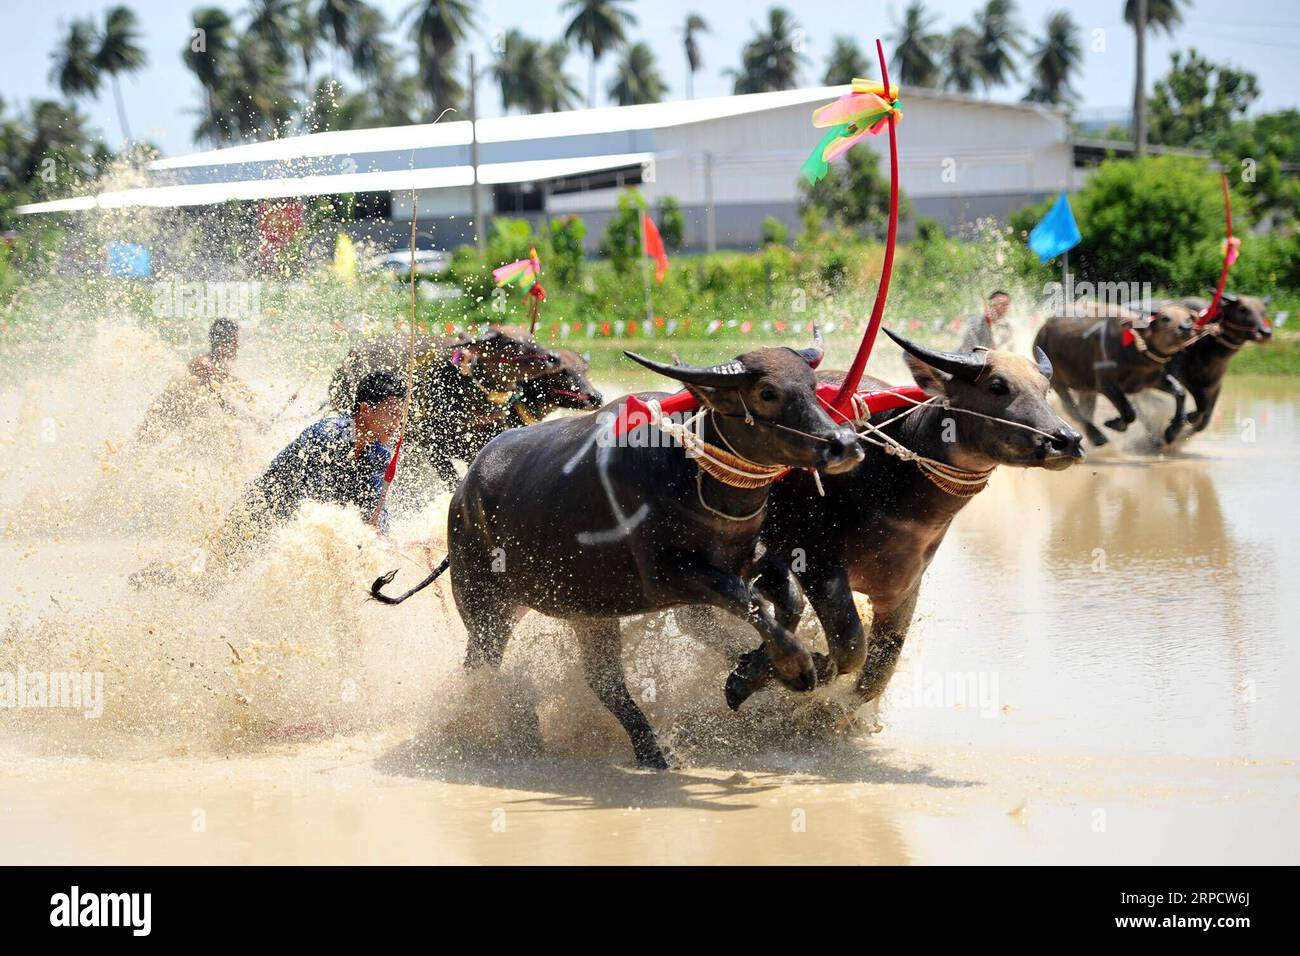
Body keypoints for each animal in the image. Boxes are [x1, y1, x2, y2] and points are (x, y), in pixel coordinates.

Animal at [374, 335, 863, 770]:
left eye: (813, 387)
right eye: (767, 393)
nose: (845, 444)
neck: (690, 472)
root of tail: (463, 494)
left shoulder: (746, 557)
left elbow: (786, 601)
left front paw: (753, 673)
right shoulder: (669, 578)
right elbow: (750, 602)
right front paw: (794, 666)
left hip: (587, 612)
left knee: (604, 682)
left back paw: (651, 751)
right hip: (484, 606)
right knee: (485, 665)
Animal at [722, 329, 1086, 712]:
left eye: (1044, 389)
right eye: (998, 386)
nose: (1066, 440)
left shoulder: (902, 591)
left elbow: (875, 675)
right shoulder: (815, 561)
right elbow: (850, 644)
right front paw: (767, 673)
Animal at [1029, 304, 1190, 447]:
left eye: (1188, 317)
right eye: (1165, 318)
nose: (1186, 328)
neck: (1135, 350)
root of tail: (1041, 331)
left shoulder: (1152, 380)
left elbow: (1180, 391)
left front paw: (1172, 432)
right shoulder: (1107, 385)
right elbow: (1129, 411)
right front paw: (1115, 424)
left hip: (1086, 387)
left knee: (1086, 409)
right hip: (1057, 382)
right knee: (1071, 409)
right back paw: (1097, 437)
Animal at [1170, 291, 1268, 434]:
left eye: (1263, 311)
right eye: (1242, 309)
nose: (1265, 332)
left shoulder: (1216, 384)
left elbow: (1207, 414)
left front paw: (1195, 422)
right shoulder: (1186, 378)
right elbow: (1203, 404)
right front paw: (1190, 417)